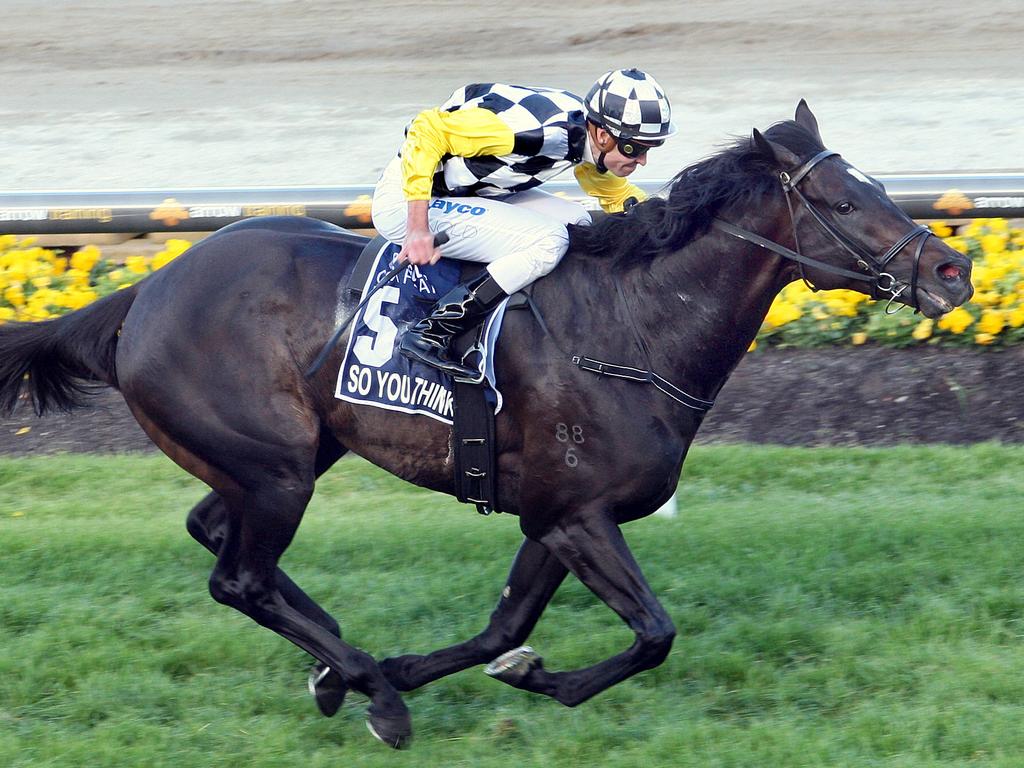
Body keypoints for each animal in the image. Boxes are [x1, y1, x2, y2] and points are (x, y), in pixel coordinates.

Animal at [0, 103, 974, 753]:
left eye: (879, 187)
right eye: (843, 205)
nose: (953, 270)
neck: (632, 324)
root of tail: (143, 291)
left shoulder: (557, 515)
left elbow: (504, 629)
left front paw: (458, 669)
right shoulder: (576, 514)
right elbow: (653, 634)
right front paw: (490, 679)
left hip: (284, 454)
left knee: (221, 539)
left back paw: (339, 666)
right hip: (274, 470)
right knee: (238, 576)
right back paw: (368, 689)